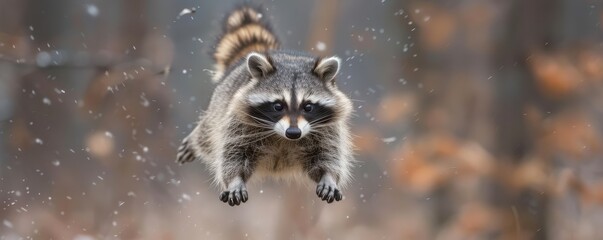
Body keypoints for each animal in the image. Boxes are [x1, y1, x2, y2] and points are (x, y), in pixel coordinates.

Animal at [176, 5, 354, 206]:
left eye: (308, 107)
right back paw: (195, 138)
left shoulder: (328, 128)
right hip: (220, 104)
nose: (294, 133)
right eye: (278, 106)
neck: (282, 137)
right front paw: (234, 180)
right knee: (207, 134)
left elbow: (328, 154)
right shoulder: (238, 122)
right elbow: (233, 154)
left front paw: (328, 177)